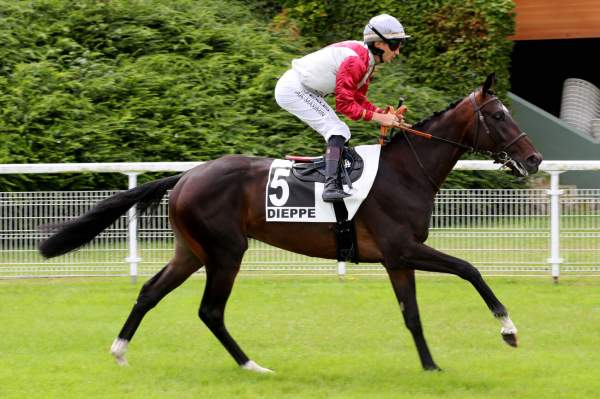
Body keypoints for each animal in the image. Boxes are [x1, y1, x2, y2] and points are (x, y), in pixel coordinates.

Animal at [37, 73, 544, 374]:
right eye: (498, 115)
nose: (534, 159)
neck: (406, 172)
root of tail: (186, 175)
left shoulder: (397, 260)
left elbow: (412, 315)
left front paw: (431, 368)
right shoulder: (402, 248)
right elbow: (470, 269)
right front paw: (508, 329)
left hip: (191, 251)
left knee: (149, 292)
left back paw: (120, 350)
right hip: (226, 250)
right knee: (210, 311)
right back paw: (251, 366)